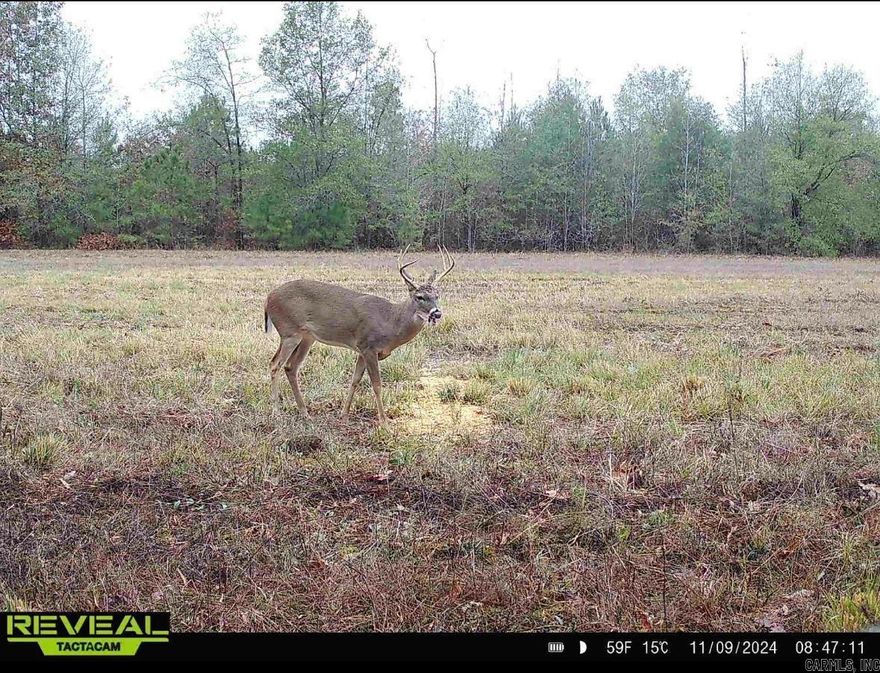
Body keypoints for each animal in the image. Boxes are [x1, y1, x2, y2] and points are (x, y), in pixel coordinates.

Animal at [263, 246, 455, 425]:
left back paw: (305, 413)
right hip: (289, 331)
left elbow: (354, 380)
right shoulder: (369, 346)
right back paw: (276, 413)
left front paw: (344, 414)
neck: (391, 322)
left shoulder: (361, 350)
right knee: (275, 364)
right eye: (419, 296)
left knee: (290, 367)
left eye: (437, 295)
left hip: (306, 337)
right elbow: (376, 384)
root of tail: (268, 298)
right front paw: (384, 421)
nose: (437, 313)